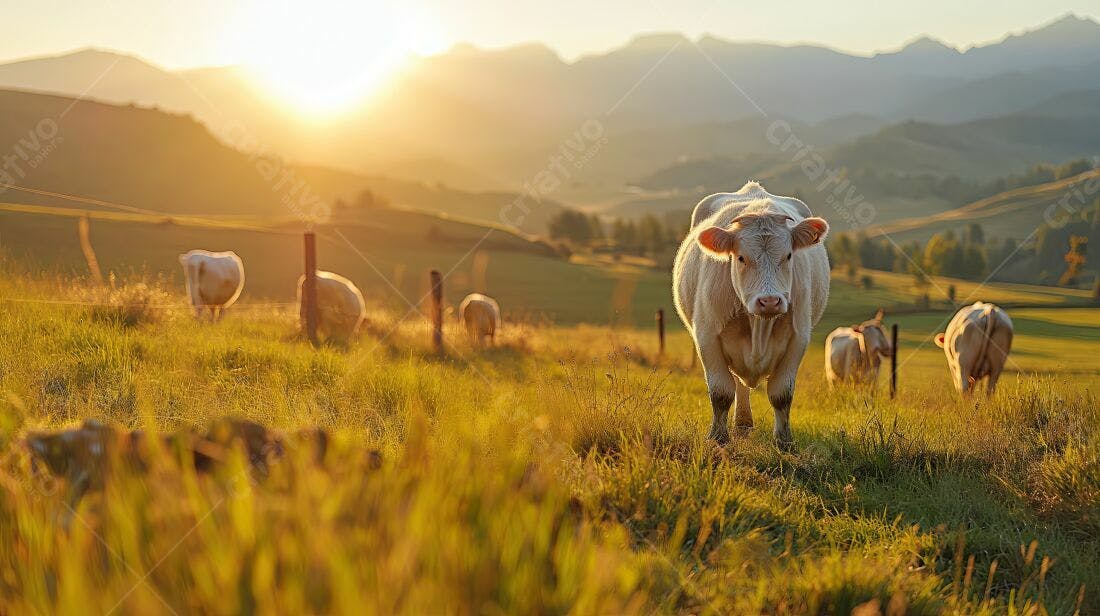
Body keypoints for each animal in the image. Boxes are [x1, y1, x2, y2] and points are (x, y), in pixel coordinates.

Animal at [673, 182, 830, 447]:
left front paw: (784, 442)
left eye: (788, 255)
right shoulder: (707, 337)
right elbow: (721, 392)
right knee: (738, 385)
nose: (770, 301)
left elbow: (781, 394)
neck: (759, 327)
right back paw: (743, 423)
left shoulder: (798, 339)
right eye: (741, 257)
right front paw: (718, 438)